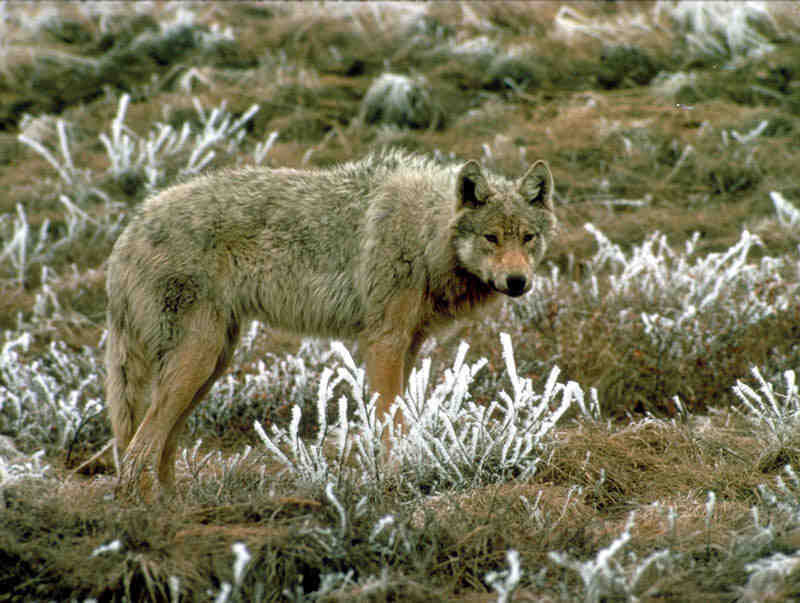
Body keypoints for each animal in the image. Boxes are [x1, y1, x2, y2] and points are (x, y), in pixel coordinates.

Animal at [103, 148, 557, 497]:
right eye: (491, 238)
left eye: (527, 237)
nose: (518, 282)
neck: (425, 233)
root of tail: (130, 229)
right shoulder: (384, 342)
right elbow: (390, 422)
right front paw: (395, 481)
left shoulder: (407, 345)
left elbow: (398, 420)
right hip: (196, 362)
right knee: (138, 449)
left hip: (208, 367)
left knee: (158, 445)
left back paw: (175, 508)